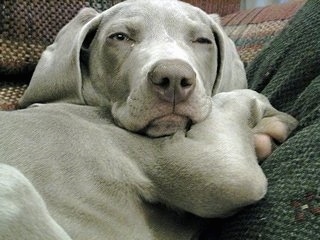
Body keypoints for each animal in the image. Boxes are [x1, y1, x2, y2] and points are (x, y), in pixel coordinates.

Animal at [0, 0, 298, 239]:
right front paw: (269, 121)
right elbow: (238, 99)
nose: (174, 79)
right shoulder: (218, 171)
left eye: (203, 40)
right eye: (120, 37)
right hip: (12, 184)